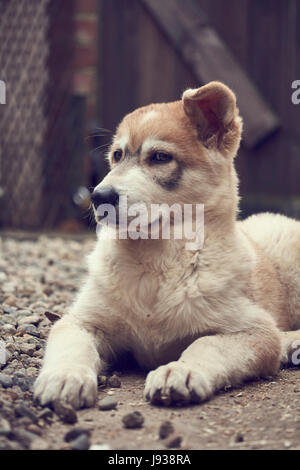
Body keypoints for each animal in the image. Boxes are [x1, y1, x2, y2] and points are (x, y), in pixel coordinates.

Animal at [34, 80, 300, 408]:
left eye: (159, 157)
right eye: (117, 155)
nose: (98, 197)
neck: (156, 262)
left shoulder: (253, 330)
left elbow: (206, 344)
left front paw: (181, 371)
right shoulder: (80, 321)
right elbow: (71, 343)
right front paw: (64, 376)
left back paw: (290, 343)